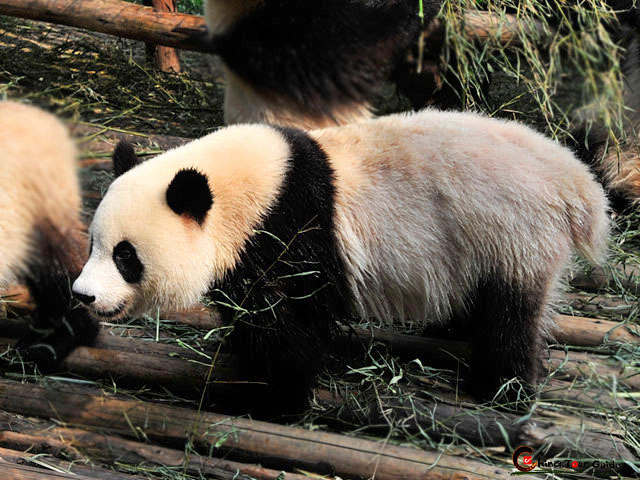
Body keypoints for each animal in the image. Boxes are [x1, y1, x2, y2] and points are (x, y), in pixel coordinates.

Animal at [71, 109, 608, 412]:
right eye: (93, 243)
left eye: (125, 256)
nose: (83, 296)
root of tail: (576, 183)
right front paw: (241, 355)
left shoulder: (291, 229)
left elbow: (293, 321)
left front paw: (275, 399)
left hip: (511, 230)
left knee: (511, 312)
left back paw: (501, 389)